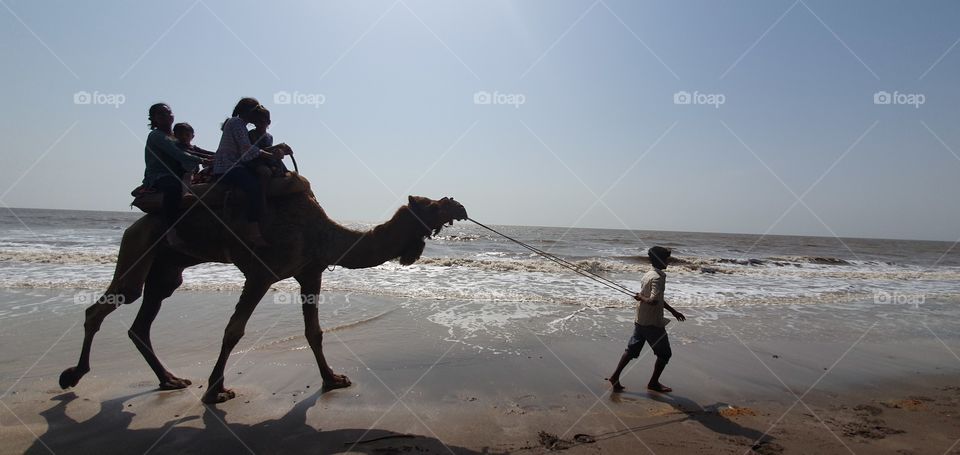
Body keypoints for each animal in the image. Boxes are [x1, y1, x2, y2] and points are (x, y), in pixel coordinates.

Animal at [56, 180, 468, 404]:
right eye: (433, 203)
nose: (460, 205)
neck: (322, 233)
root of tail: (136, 222)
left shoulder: (310, 274)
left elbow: (314, 332)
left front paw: (332, 378)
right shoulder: (261, 273)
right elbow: (234, 330)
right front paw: (215, 390)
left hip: (167, 268)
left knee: (142, 319)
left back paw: (170, 380)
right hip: (140, 247)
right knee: (109, 303)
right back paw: (73, 375)